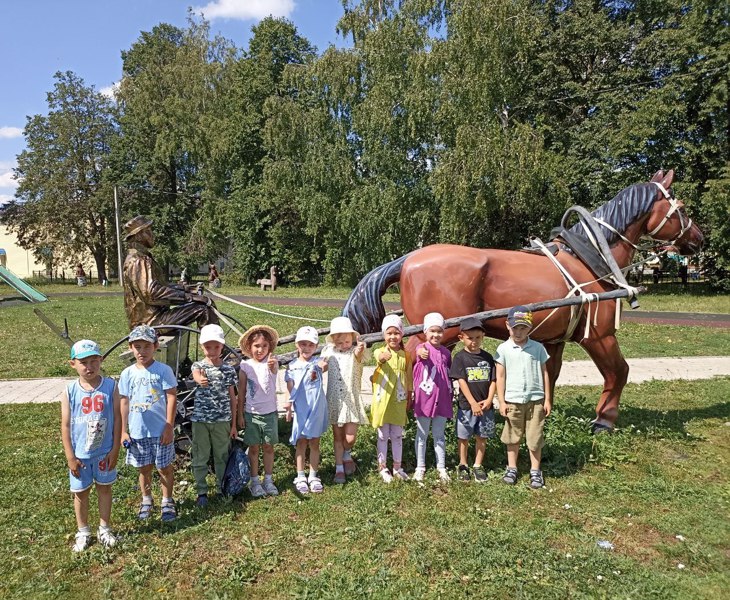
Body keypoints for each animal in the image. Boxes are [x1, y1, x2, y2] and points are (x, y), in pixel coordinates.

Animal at [344, 171, 704, 428]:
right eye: (682, 208)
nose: (699, 239)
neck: (590, 258)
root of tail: (408, 259)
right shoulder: (599, 335)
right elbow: (619, 371)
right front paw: (604, 420)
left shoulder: (554, 340)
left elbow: (550, 375)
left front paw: (544, 413)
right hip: (436, 332)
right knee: (404, 358)